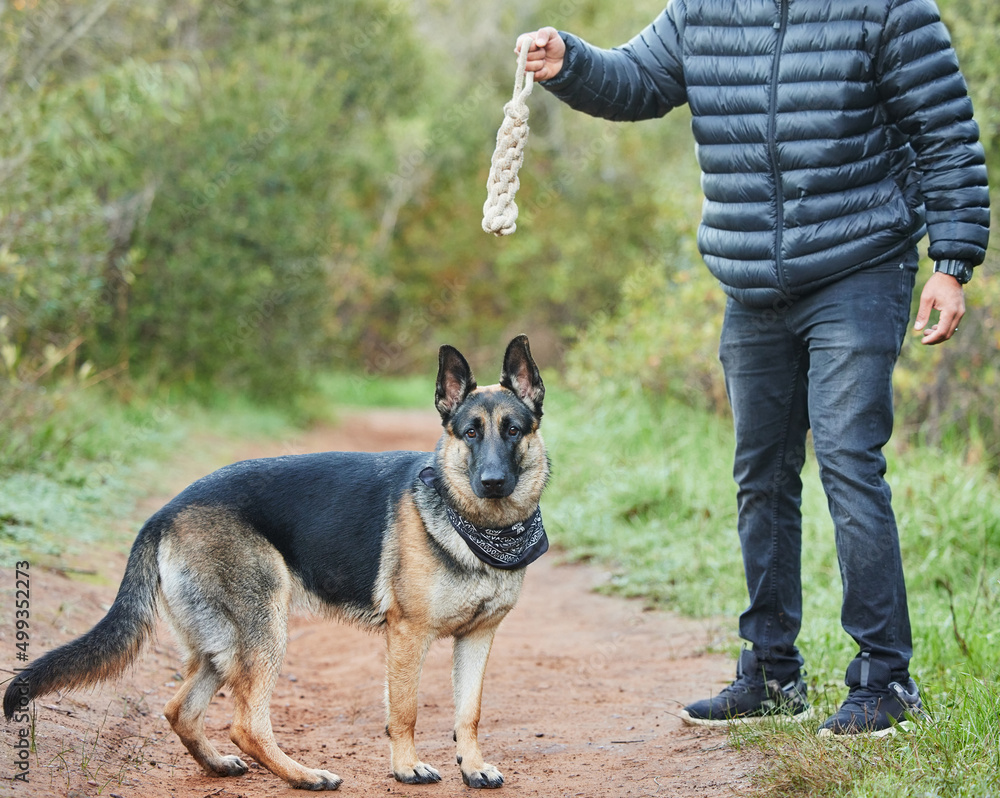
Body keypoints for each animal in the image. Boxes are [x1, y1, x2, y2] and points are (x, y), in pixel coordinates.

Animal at [3, 334, 552, 792]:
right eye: (471, 433)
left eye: (513, 431)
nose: (492, 482)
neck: (477, 526)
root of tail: (165, 512)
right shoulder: (407, 635)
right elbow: (405, 710)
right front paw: (406, 767)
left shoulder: (477, 638)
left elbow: (469, 713)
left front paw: (473, 767)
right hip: (264, 628)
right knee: (245, 724)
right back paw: (304, 776)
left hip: (223, 645)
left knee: (180, 709)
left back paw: (218, 765)